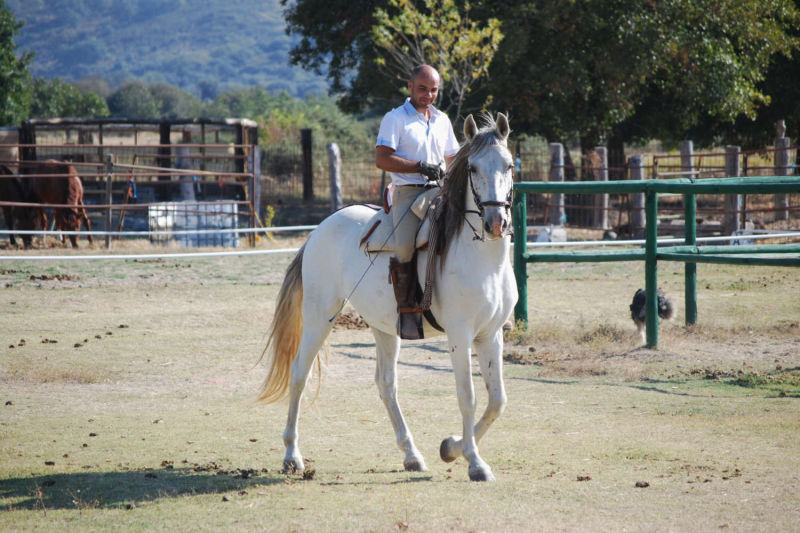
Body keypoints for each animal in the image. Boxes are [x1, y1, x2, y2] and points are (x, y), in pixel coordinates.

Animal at [260, 113, 516, 482]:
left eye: (509, 165)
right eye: (473, 168)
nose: (496, 222)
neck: (482, 260)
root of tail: (320, 229)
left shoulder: (490, 335)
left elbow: (497, 401)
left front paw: (451, 447)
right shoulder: (460, 335)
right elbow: (467, 397)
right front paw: (474, 462)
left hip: (385, 327)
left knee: (386, 385)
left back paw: (411, 455)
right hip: (319, 317)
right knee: (299, 374)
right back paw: (292, 456)